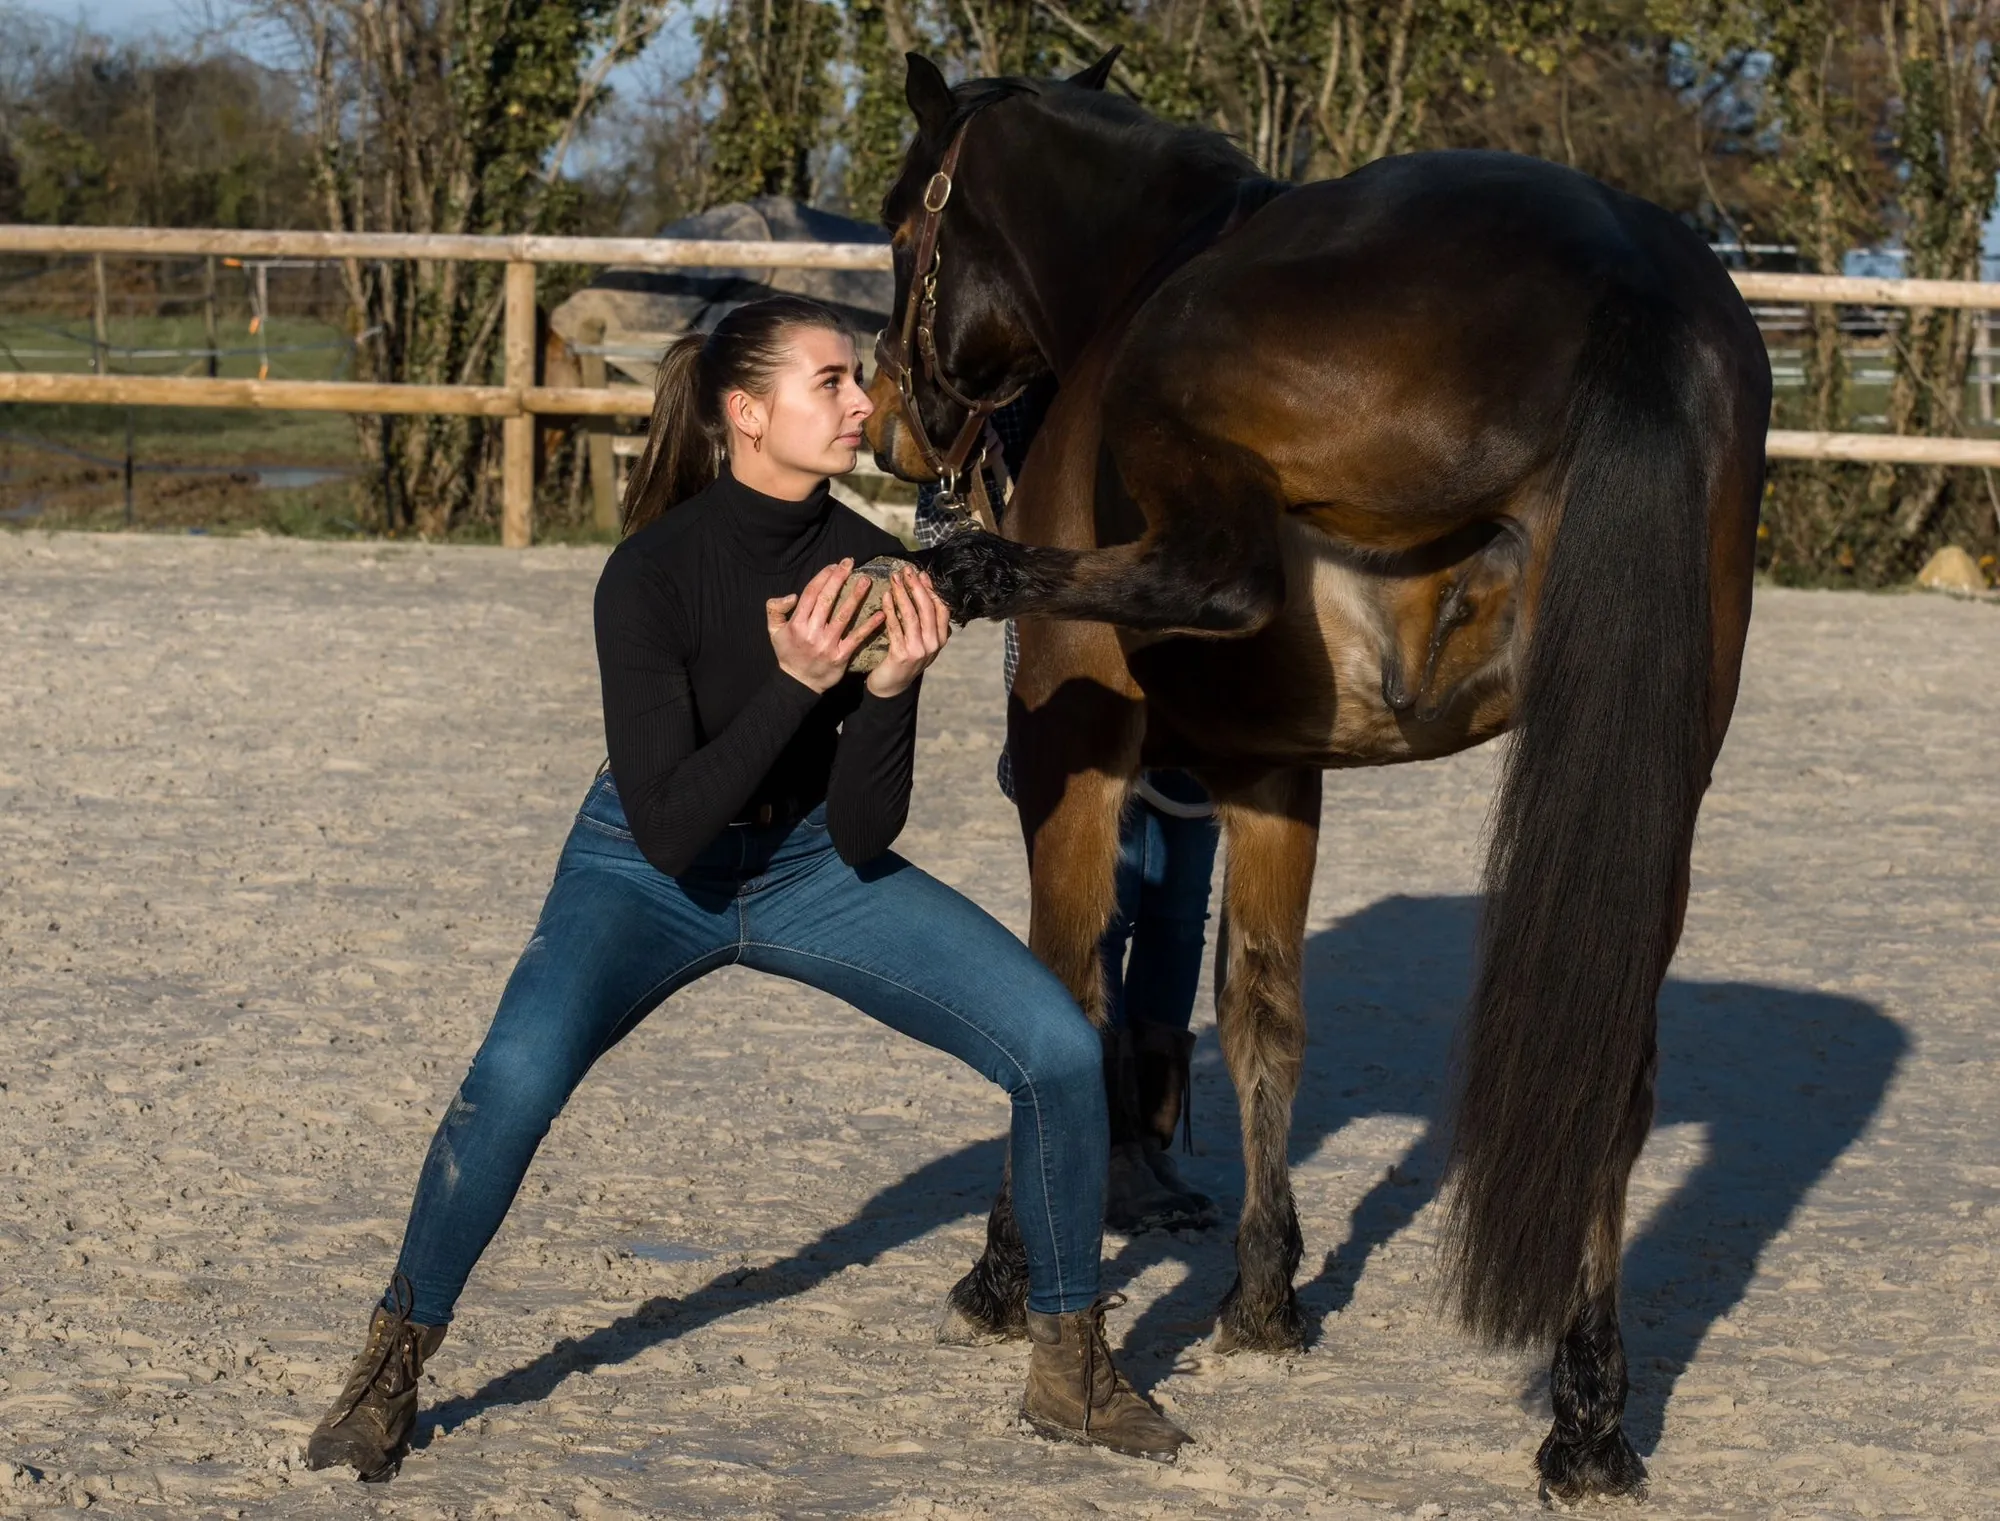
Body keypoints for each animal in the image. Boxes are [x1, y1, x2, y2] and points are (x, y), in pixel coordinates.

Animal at [864, 51, 1769, 1502]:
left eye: (903, 228)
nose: (897, 421)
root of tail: (1622, 269)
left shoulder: (1078, 753)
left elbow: (1060, 988)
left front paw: (1002, 1277)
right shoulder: (1276, 774)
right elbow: (1260, 1014)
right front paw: (1264, 1296)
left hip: (1186, 412)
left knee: (1218, 573)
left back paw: (977, 570)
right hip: (1658, 778)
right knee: (1610, 1078)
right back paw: (1586, 1417)